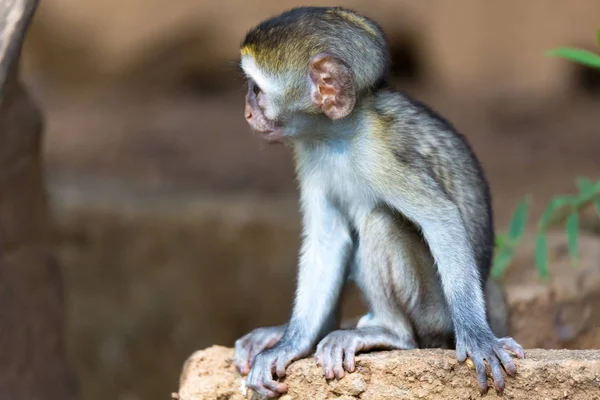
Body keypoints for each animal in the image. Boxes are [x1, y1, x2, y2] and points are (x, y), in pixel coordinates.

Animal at [234, 7, 524, 400]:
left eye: (256, 90)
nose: (248, 114)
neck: (339, 135)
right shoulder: (308, 153)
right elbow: (327, 240)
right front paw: (290, 343)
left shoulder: (379, 157)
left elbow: (442, 218)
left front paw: (479, 338)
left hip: (433, 312)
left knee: (379, 220)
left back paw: (390, 331)